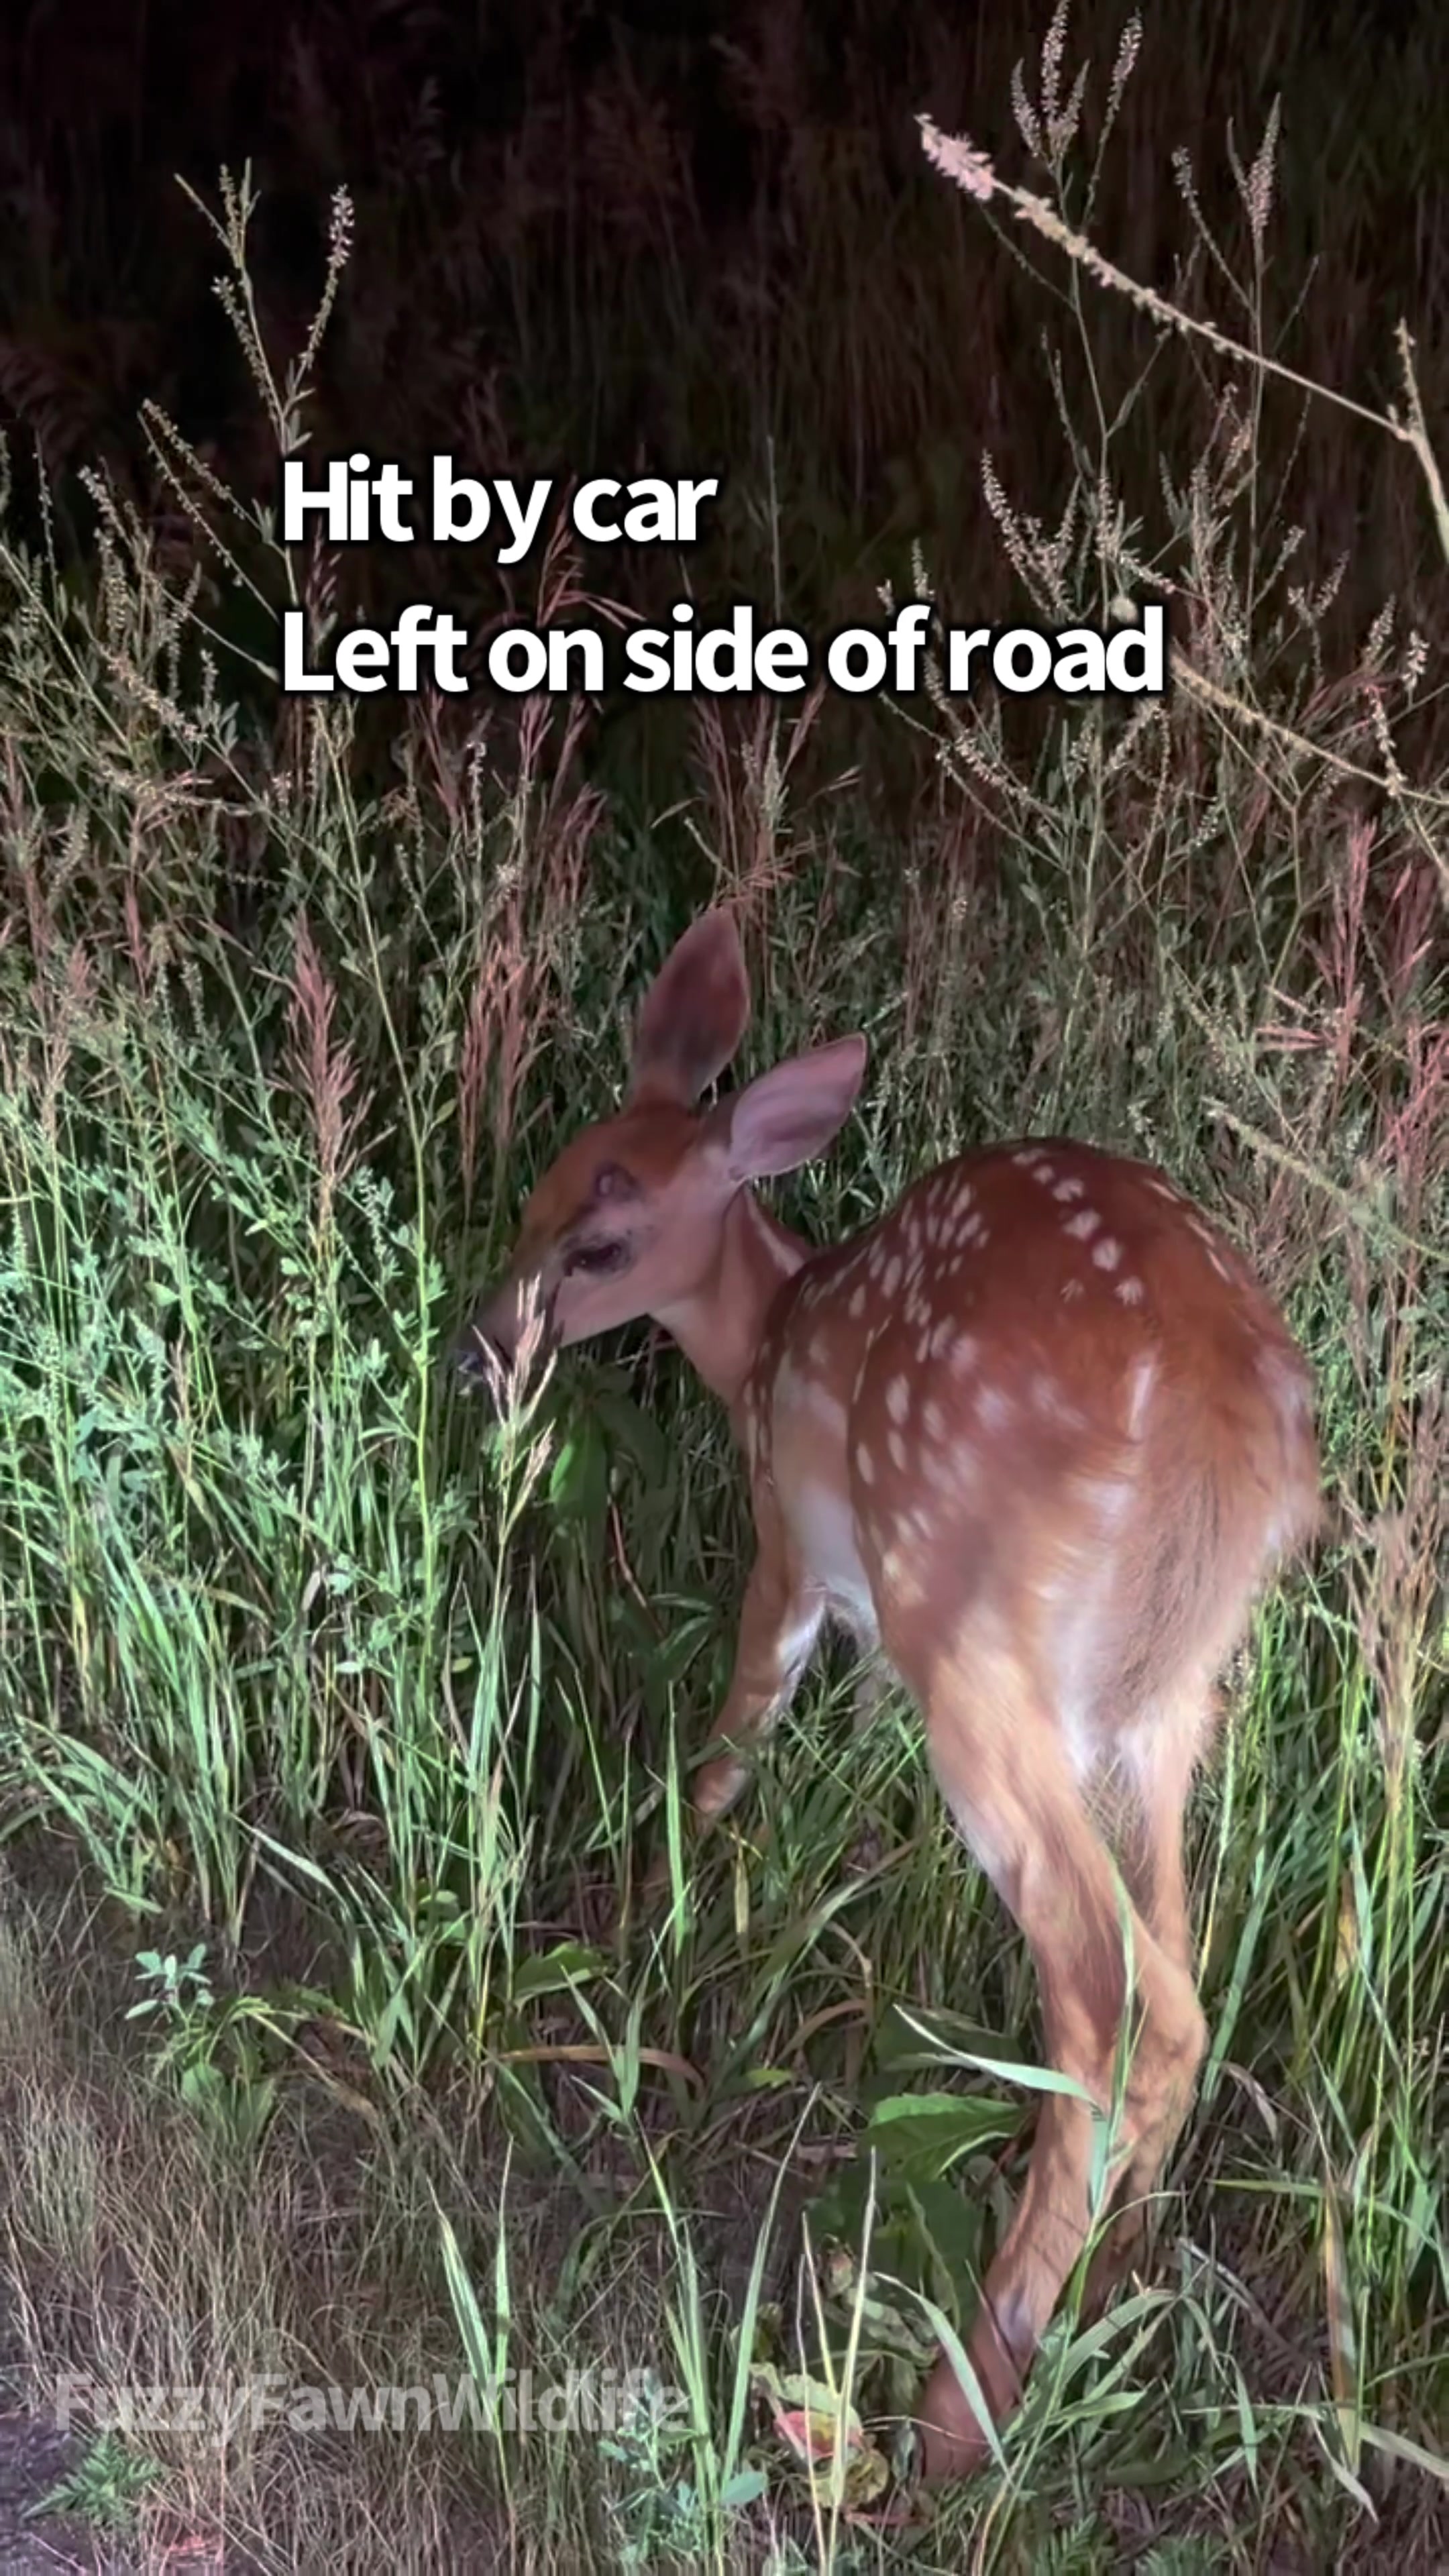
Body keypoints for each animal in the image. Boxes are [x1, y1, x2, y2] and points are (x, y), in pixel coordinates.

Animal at [457, 907, 1321, 2482]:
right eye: (538, 1188)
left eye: (602, 1241)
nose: (479, 1352)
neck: (767, 1332)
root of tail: (1229, 1438)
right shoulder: (872, 1626)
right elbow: (848, 1761)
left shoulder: (799, 1547)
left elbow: (743, 1722)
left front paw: (650, 1902)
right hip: (1165, 1700)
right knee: (1177, 1971)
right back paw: (1106, 2284)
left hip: (977, 1638)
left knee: (1109, 1994)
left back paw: (959, 2405)